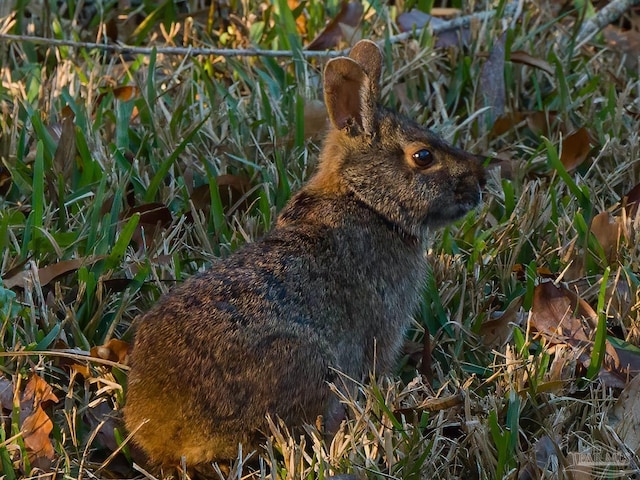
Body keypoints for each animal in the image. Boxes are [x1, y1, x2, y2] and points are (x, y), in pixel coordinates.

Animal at [124, 39, 484, 470]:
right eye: (423, 156)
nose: (481, 182)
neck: (364, 199)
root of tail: (164, 428)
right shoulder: (382, 330)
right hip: (306, 363)